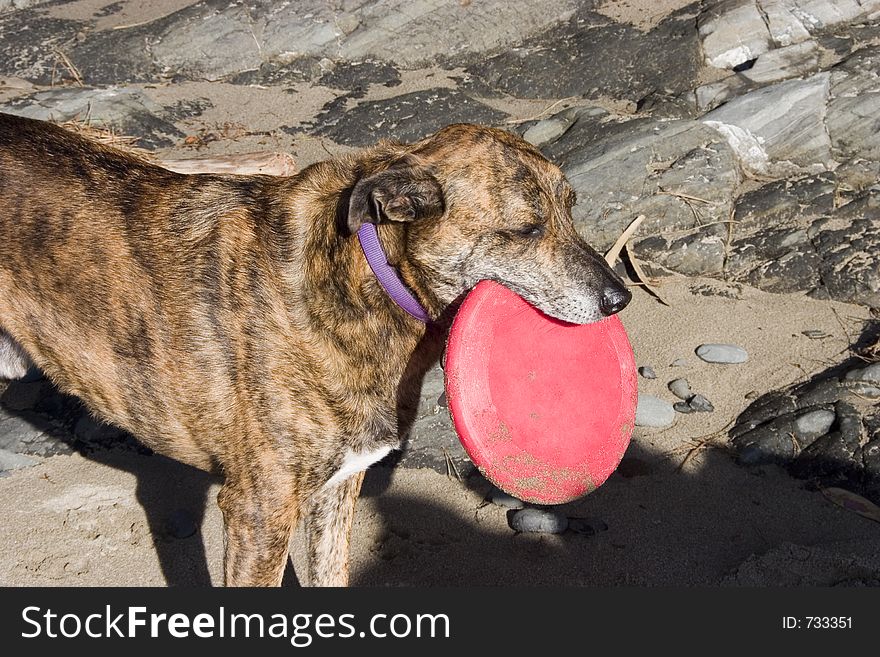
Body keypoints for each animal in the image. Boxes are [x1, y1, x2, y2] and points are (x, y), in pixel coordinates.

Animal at [1, 113, 632, 584]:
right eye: (526, 229)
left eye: (571, 206)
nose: (620, 298)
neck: (364, 277)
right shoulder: (258, 512)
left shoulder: (338, 489)